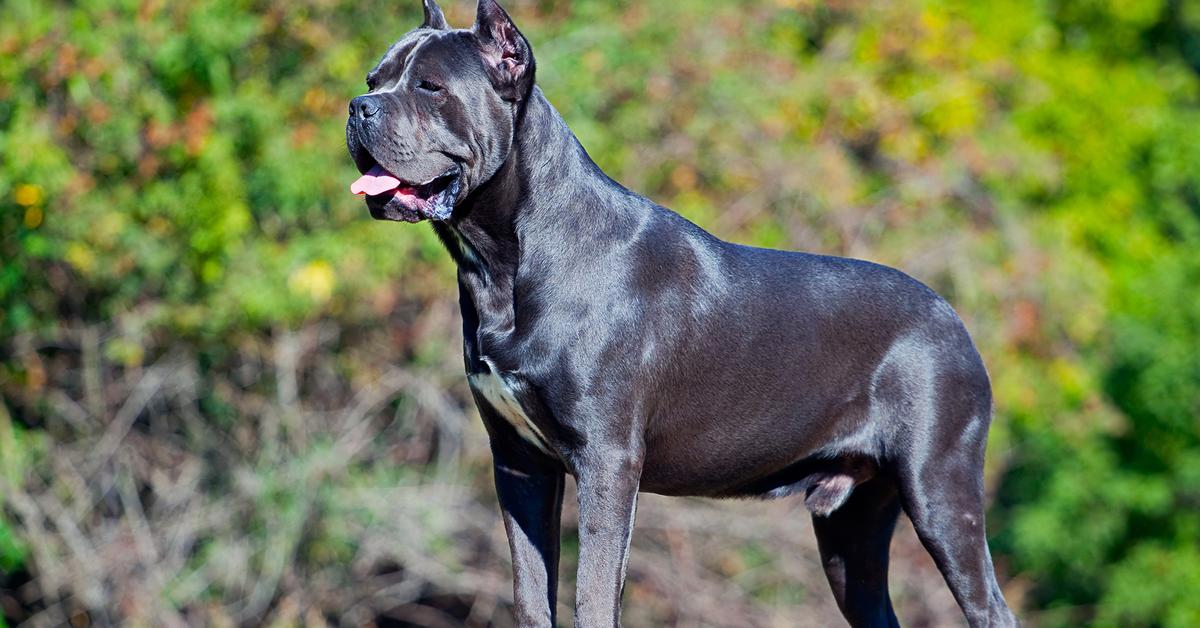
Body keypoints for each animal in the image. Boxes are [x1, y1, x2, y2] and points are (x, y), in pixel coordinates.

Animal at [343, 2, 1017, 624]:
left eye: (430, 87)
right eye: (376, 78)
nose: (357, 105)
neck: (500, 260)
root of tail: (953, 318)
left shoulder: (607, 460)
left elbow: (593, 593)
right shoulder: (519, 463)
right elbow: (532, 593)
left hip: (940, 490)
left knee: (990, 606)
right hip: (852, 532)